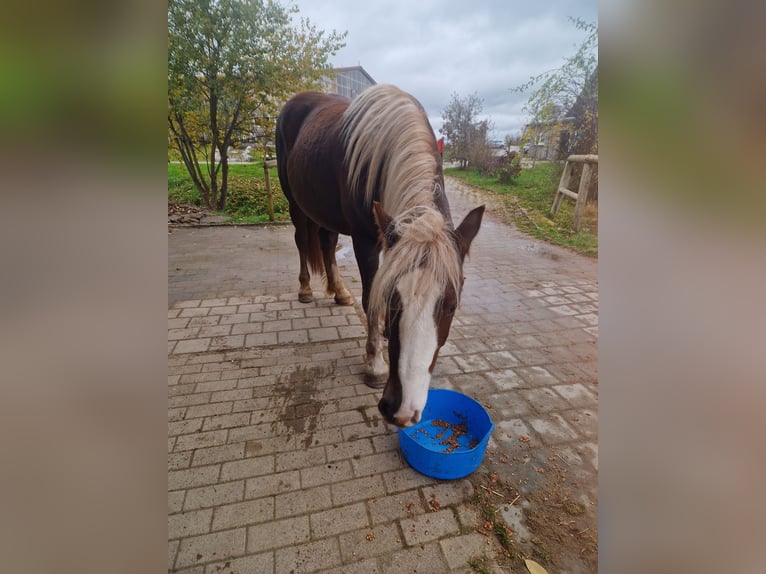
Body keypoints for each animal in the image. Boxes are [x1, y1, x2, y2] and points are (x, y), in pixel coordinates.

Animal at [276, 84, 484, 427]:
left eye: (452, 306)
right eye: (394, 301)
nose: (401, 409)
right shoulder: (365, 240)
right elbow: (369, 297)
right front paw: (375, 364)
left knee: (327, 243)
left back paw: (339, 292)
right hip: (295, 203)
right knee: (302, 241)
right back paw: (305, 288)